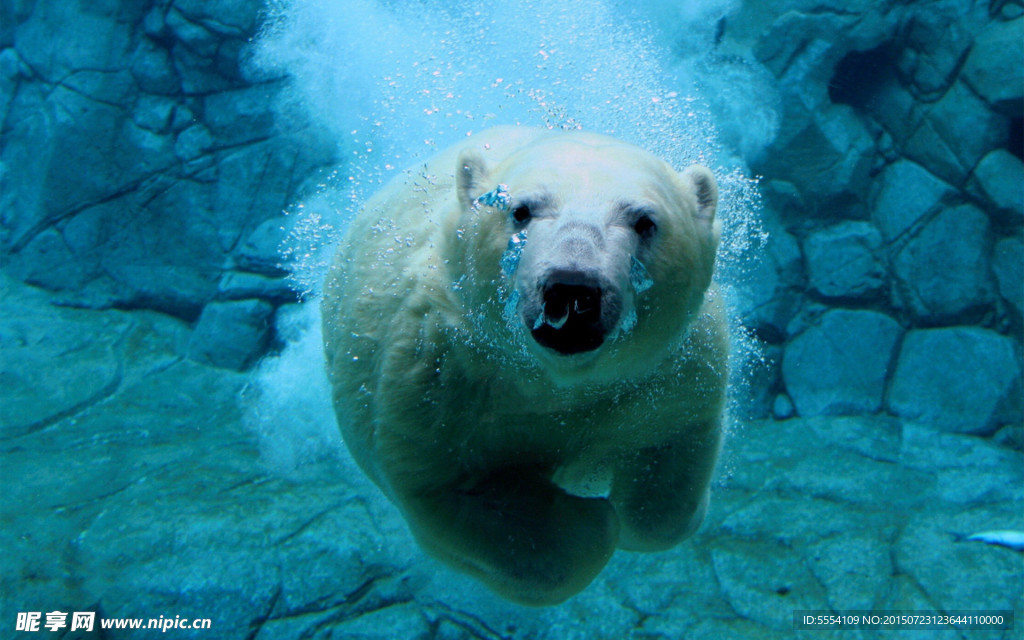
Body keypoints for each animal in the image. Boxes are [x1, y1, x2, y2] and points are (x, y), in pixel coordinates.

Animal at [321, 124, 729, 602]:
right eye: (520, 210)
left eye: (645, 221)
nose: (572, 288)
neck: (552, 382)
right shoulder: (437, 376)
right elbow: (454, 491)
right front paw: (590, 520)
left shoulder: (668, 372)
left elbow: (668, 468)